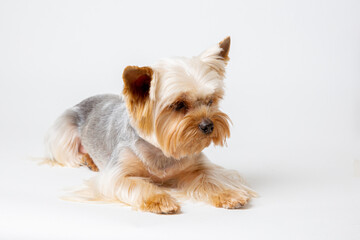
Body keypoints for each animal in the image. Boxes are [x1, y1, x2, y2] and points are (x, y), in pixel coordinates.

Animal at [45, 36, 256, 214]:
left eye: (210, 100)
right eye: (179, 105)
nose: (209, 126)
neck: (162, 151)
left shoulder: (197, 165)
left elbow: (212, 177)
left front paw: (229, 194)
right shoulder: (116, 173)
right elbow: (135, 183)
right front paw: (159, 199)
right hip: (65, 133)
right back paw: (87, 159)